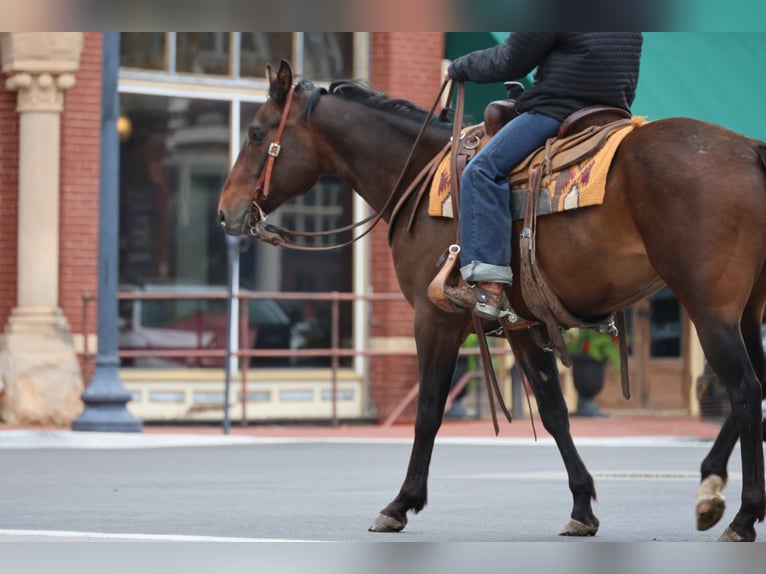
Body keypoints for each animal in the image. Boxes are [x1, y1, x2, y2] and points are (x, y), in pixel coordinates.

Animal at [217, 60, 766, 541]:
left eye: (256, 132)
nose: (225, 212)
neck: (416, 174)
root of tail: (750, 150)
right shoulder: (523, 325)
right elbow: (553, 412)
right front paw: (582, 507)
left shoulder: (434, 319)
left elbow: (429, 410)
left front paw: (401, 503)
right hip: (746, 312)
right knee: (754, 391)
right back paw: (724, 496)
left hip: (710, 310)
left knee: (743, 390)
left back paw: (734, 508)